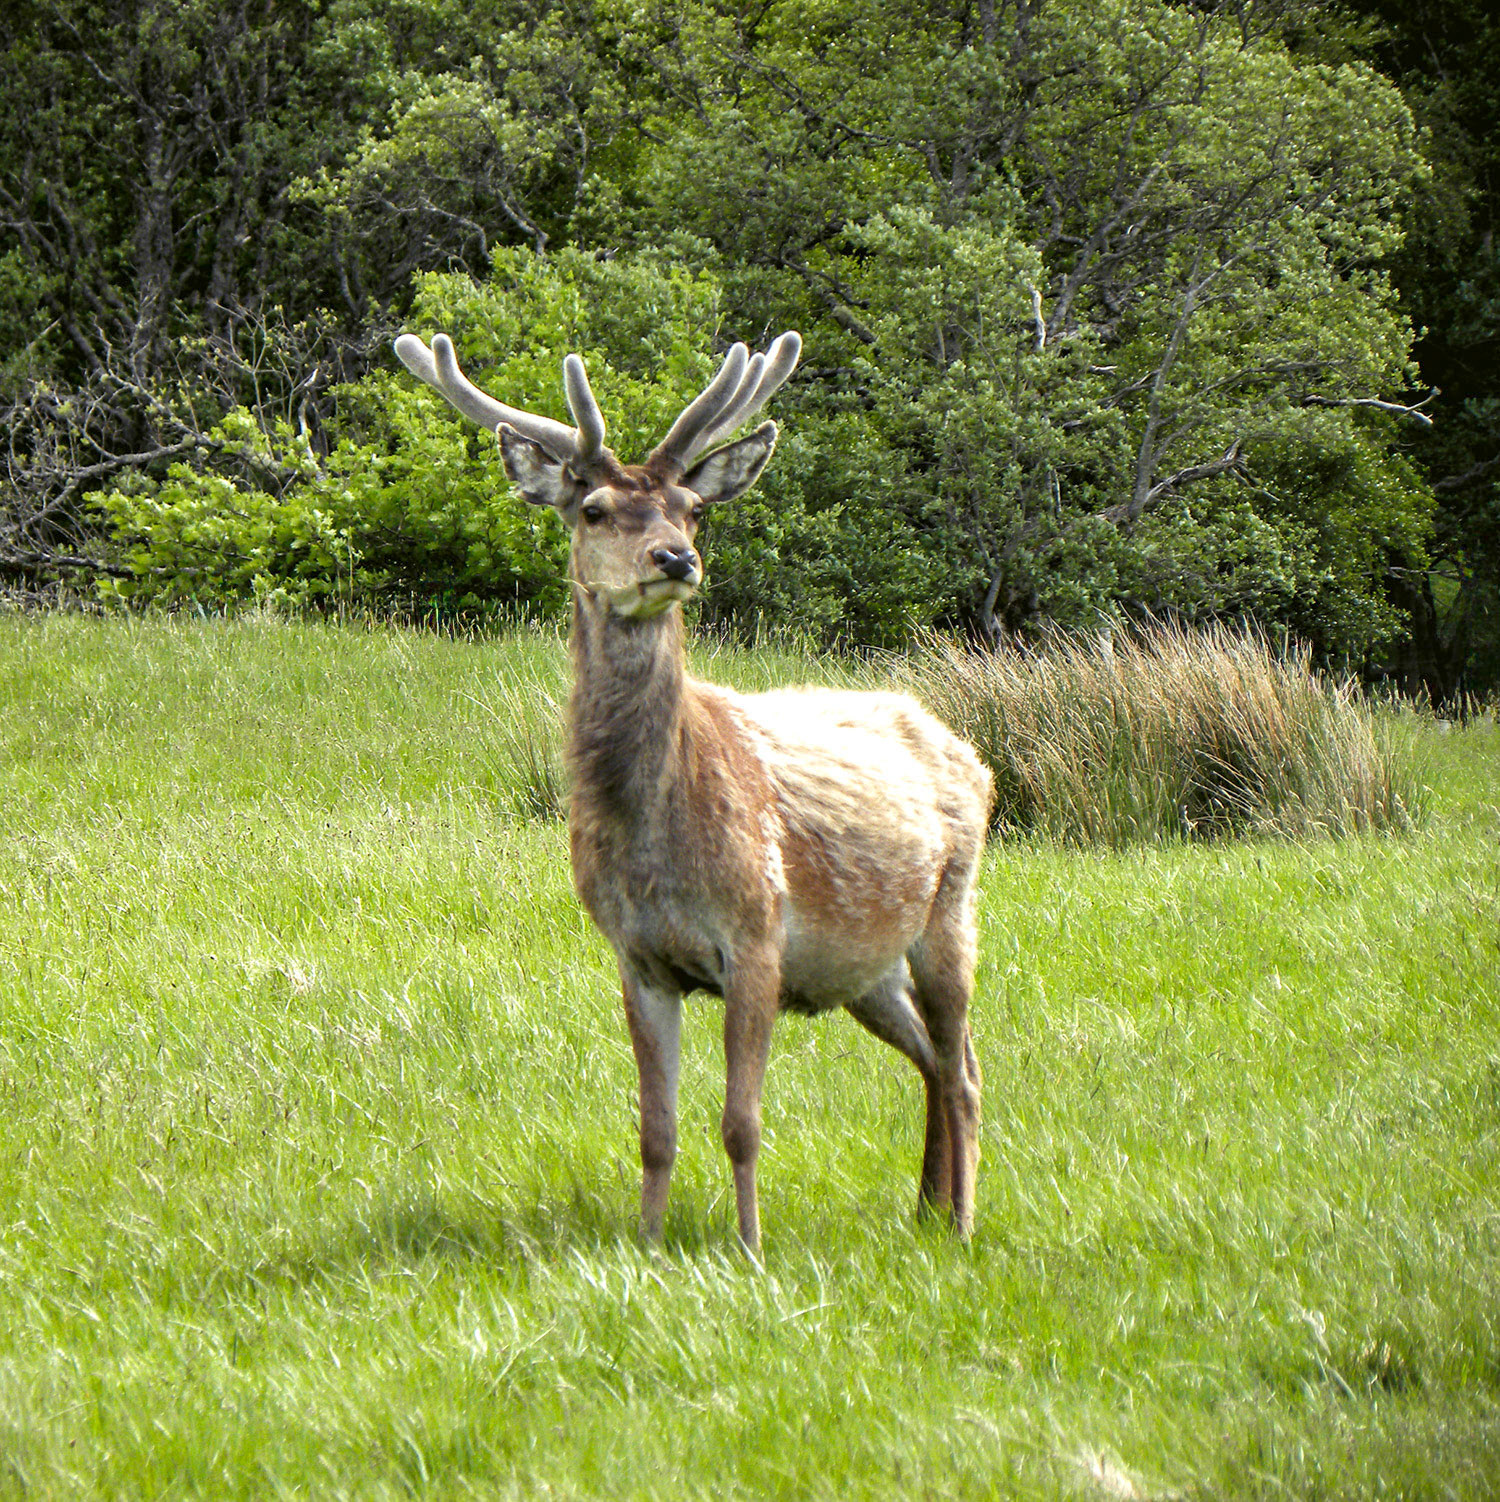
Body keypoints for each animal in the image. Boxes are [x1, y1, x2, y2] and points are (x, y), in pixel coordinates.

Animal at [394, 327, 993, 1253]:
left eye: (693, 508)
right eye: (594, 509)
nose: (676, 558)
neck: (656, 842)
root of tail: (967, 751)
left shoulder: (756, 936)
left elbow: (741, 1122)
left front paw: (748, 1247)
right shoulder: (638, 955)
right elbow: (656, 1126)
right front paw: (646, 1242)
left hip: (951, 911)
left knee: (964, 1068)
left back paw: (960, 1222)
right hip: (863, 967)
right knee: (932, 1059)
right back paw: (924, 1208)